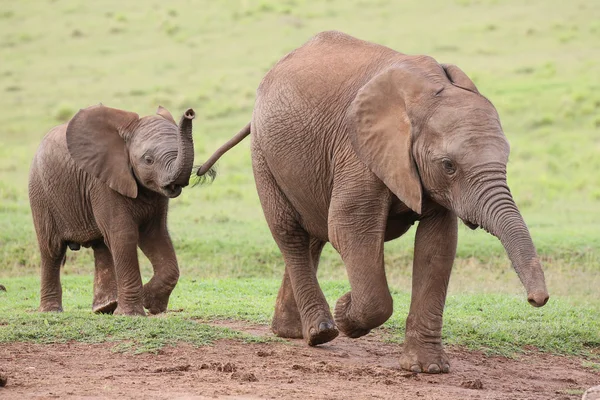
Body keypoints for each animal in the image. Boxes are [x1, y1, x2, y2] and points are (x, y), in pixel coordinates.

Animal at [29, 105, 197, 316]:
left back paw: (106, 307)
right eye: (148, 160)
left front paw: (150, 303)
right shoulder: (103, 183)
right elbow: (124, 235)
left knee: (101, 246)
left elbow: (155, 236)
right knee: (52, 249)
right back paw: (51, 311)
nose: (190, 113)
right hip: (41, 193)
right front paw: (132, 313)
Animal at [197, 30, 548, 372]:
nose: (538, 300)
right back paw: (321, 332)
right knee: (291, 233)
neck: (426, 93)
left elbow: (437, 245)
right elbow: (350, 229)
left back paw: (292, 332)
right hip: (263, 155)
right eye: (449, 165)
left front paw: (426, 368)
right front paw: (345, 311)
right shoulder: (358, 151)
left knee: (314, 234)